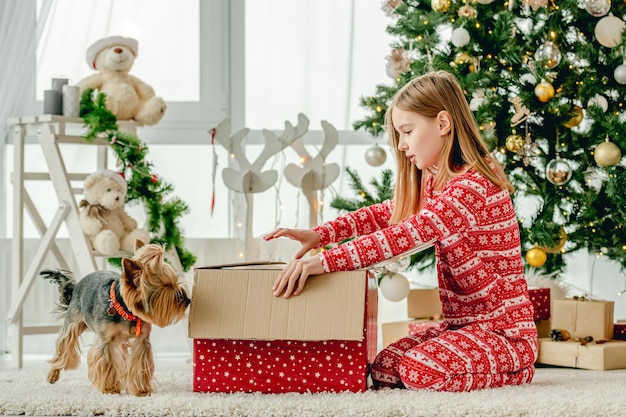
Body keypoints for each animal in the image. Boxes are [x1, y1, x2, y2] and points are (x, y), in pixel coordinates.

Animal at [40, 239, 188, 394]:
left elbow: (139, 364)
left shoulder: (142, 340)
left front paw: (141, 390)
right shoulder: (106, 341)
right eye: (167, 286)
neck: (126, 311)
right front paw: (110, 389)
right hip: (73, 321)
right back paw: (53, 374)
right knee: (64, 346)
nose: (188, 300)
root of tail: (76, 286)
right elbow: (107, 363)